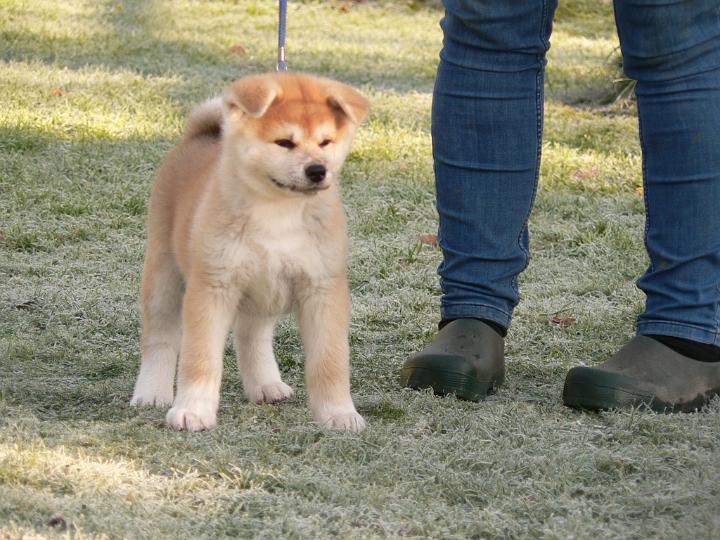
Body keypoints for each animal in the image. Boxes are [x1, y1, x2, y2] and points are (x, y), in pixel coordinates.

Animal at [130, 72, 369, 432]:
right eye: (284, 142)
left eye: (326, 142)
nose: (317, 170)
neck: (278, 211)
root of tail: (201, 135)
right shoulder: (212, 287)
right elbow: (200, 359)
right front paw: (192, 410)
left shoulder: (323, 289)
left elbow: (329, 361)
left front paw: (338, 413)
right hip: (164, 276)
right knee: (160, 337)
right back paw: (151, 392)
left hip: (263, 289)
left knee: (251, 335)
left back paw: (266, 384)